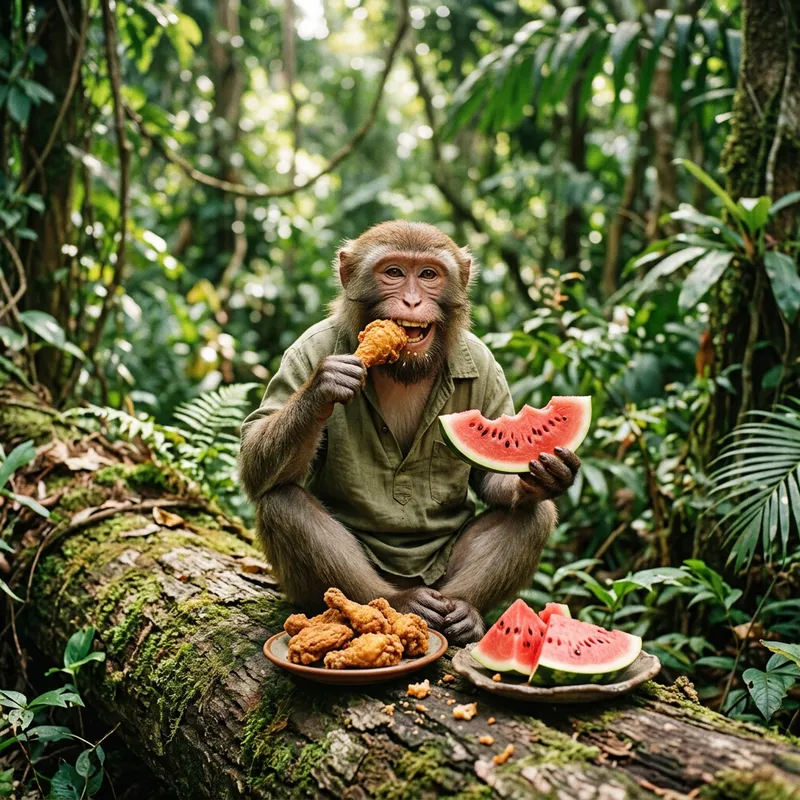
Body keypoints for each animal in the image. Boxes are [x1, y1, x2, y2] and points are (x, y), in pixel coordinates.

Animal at [239, 220, 580, 645]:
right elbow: (256, 459)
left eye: (428, 274)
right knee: (281, 501)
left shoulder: (486, 363)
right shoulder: (306, 348)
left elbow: (491, 480)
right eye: (394, 272)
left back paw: (464, 611)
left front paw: (542, 479)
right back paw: (397, 602)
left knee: (534, 514)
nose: (413, 301)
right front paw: (322, 386)